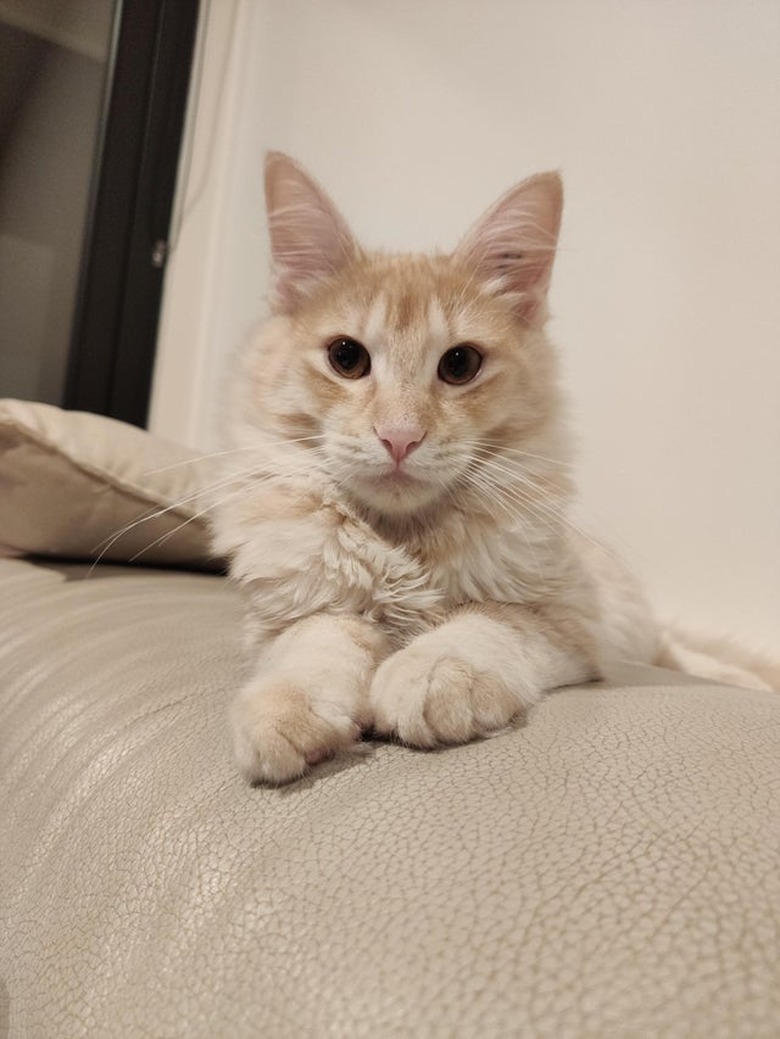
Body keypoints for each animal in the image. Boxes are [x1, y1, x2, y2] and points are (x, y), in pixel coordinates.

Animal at [211, 151, 776, 785]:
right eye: (346, 358)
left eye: (460, 365)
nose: (400, 437)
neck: (404, 541)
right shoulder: (283, 617)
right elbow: (319, 640)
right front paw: (284, 710)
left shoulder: (565, 622)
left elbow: (485, 623)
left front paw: (428, 674)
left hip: (632, 628)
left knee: (678, 653)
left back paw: (743, 679)